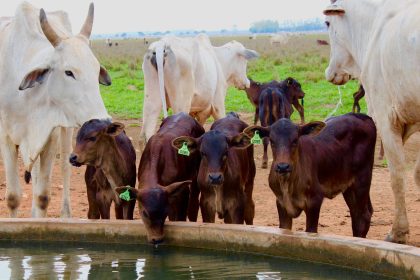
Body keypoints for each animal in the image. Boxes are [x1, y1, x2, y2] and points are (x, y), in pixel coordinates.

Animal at [0, 1, 110, 217]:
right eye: (69, 72)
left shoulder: (50, 135)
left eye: (96, 70)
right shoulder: (6, 137)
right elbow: (13, 197)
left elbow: (42, 197)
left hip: (66, 131)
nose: (103, 122)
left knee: (64, 169)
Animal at [244, 112, 376, 237]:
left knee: (362, 217)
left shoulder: (314, 201)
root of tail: (361, 116)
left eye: (295, 140)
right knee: (356, 214)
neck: (288, 185)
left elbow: (311, 231)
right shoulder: (281, 203)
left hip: (362, 180)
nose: (283, 166)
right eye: (272, 141)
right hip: (348, 187)